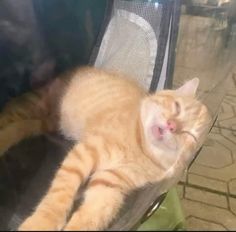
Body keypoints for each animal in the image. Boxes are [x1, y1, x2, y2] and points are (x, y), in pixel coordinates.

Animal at [18, 66, 210, 231]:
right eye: (177, 107)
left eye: (190, 135)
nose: (172, 125)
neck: (141, 148)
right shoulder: (85, 152)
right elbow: (61, 192)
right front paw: (42, 222)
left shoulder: (110, 183)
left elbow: (94, 214)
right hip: (36, 104)